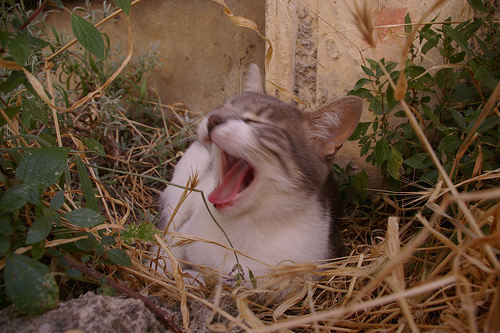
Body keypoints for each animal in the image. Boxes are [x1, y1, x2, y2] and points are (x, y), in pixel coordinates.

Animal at [154, 64, 362, 288]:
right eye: (224, 106)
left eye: (254, 120)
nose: (213, 118)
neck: (244, 226)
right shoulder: (183, 232)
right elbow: (165, 252)